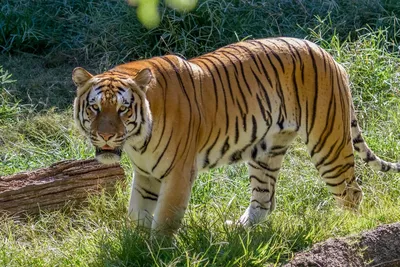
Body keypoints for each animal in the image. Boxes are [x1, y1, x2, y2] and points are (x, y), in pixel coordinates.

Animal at [72, 38, 400, 237]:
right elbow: (137, 213)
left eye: (123, 109)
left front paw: (156, 250)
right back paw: (240, 229)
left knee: (351, 192)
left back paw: (348, 227)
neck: (137, 141)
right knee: (264, 200)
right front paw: (137, 244)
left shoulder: (178, 173)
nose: (105, 136)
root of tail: (327, 52)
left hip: (328, 142)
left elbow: (164, 219)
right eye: (95, 107)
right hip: (266, 152)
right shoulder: (146, 174)